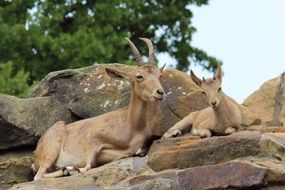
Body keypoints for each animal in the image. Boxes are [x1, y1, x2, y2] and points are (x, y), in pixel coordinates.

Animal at [32, 37, 165, 180]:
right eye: (139, 76)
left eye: (159, 75)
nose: (160, 92)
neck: (132, 126)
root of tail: (37, 152)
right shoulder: (92, 139)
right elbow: (88, 166)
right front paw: (74, 169)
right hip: (52, 147)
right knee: (39, 175)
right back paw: (68, 170)